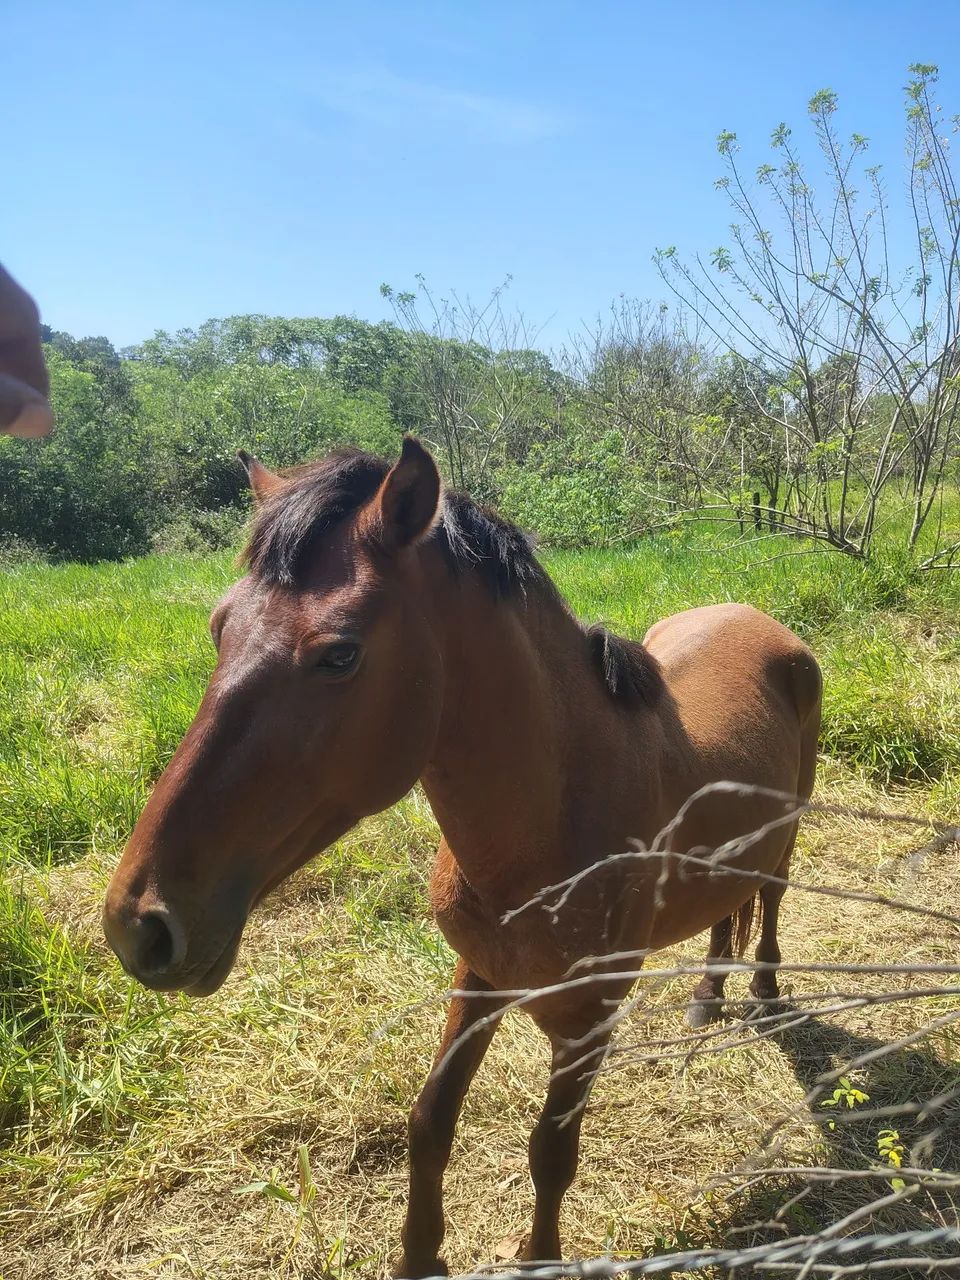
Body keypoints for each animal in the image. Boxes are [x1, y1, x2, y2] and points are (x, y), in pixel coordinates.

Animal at [103, 436, 821, 1274]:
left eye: (339, 655)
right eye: (220, 627)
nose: (138, 923)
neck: (549, 831)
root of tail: (762, 623)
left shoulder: (587, 1021)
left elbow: (552, 1151)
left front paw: (538, 1253)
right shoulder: (477, 978)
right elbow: (430, 1122)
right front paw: (419, 1256)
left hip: (789, 831)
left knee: (770, 895)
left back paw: (762, 987)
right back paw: (709, 994)